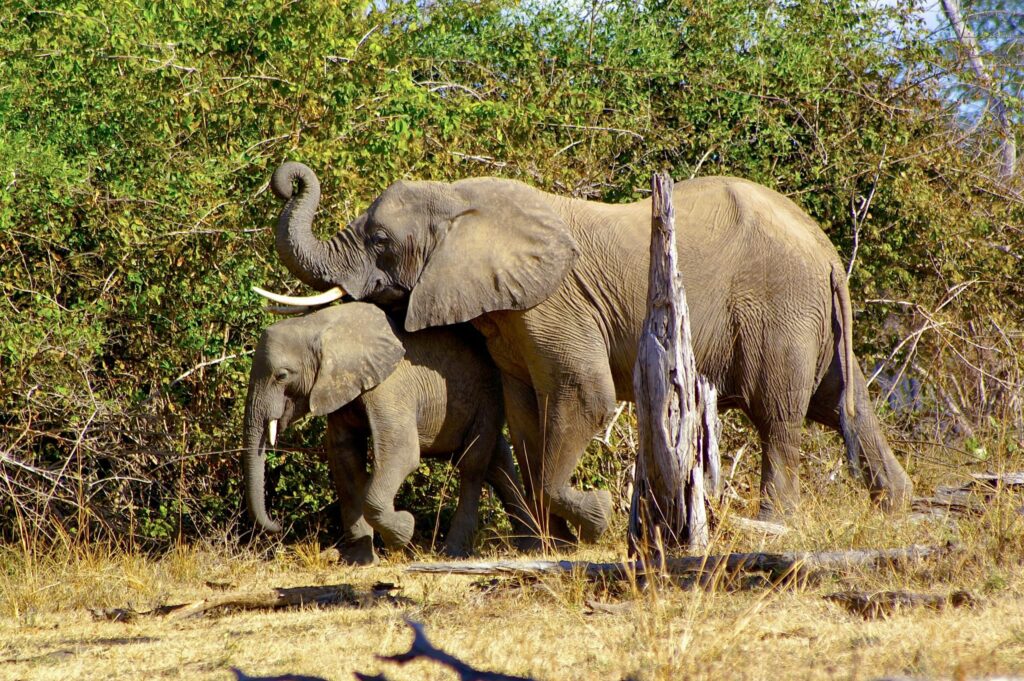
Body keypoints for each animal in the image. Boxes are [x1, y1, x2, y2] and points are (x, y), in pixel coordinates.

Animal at [242, 302, 532, 563]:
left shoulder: (389, 387)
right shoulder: (341, 389)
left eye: (281, 376)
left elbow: (402, 453)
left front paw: (404, 530)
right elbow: (344, 459)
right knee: (498, 462)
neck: (320, 325)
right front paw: (360, 561)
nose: (278, 524)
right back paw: (529, 542)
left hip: (490, 395)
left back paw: (455, 551)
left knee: (472, 462)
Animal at [257, 161, 914, 541]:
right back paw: (896, 508)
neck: (463, 201)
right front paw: (547, 541)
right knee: (846, 404)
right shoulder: (511, 320)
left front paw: (596, 520)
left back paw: (773, 526)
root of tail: (827, 249)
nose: (290, 177)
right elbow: (526, 416)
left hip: (782, 311)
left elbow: (584, 396)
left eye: (380, 240)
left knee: (779, 418)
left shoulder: (555, 303)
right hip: (815, 321)